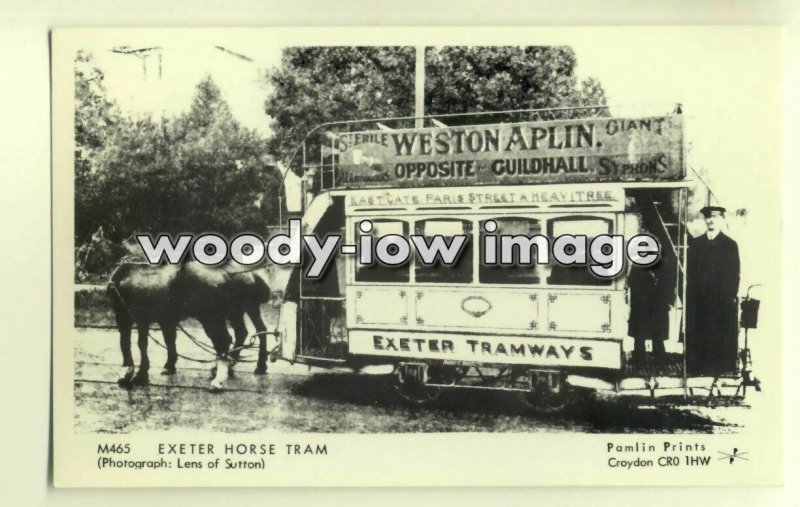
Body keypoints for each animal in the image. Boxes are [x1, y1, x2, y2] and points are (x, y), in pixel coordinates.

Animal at [108, 262, 270, 392]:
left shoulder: (137, 318)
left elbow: (138, 344)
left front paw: (139, 374)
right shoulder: (163, 320)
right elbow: (166, 340)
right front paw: (167, 366)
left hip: (212, 316)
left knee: (225, 339)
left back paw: (219, 378)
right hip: (238, 310)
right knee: (250, 331)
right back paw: (252, 365)